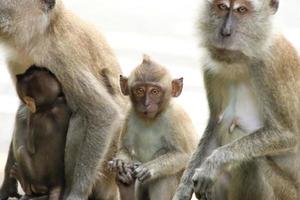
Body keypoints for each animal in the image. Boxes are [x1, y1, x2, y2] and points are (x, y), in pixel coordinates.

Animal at [10, 65, 71, 200]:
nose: (19, 75)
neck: (48, 107)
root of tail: (56, 183)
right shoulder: (63, 105)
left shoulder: (38, 116)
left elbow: (30, 146)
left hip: (38, 181)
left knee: (21, 151)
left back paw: (23, 181)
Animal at [110, 55, 199, 200]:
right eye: (139, 90)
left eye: (155, 92)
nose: (146, 104)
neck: (151, 119)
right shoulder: (129, 114)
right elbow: (124, 148)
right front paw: (121, 164)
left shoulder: (175, 118)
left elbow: (185, 155)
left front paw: (150, 168)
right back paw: (125, 183)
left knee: (163, 173)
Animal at [172, 0, 300, 200]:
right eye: (222, 7)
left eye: (242, 10)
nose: (225, 32)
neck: (243, 59)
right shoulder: (210, 65)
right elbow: (215, 124)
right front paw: (183, 190)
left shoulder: (272, 65)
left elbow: (287, 135)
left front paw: (214, 164)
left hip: (288, 193)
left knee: (251, 162)